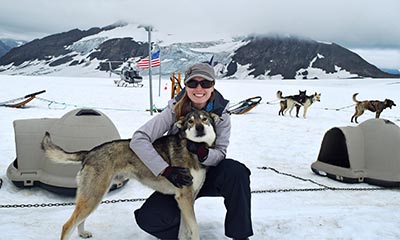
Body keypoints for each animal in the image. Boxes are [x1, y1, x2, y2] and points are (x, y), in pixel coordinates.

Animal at [41, 109, 219, 239]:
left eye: (204, 119)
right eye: (190, 121)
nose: (199, 128)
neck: (194, 149)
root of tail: (89, 152)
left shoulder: (187, 199)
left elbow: (184, 230)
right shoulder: (185, 197)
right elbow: (194, 228)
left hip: (93, 197)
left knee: (79, 220)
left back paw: (83, 233)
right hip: (93, 196)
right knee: (67, 225)